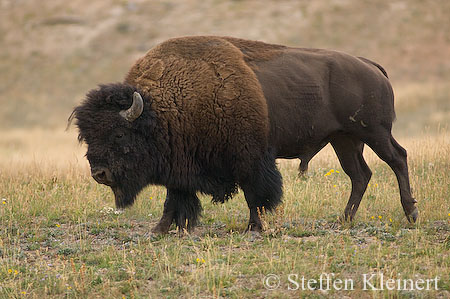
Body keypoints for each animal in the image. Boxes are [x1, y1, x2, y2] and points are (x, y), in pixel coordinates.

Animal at [69, 36, 418, 234]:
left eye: (118, 135)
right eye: (86, 136)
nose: (99, 173)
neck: (163, 107)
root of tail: (370, 66)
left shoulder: (250, 158)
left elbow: (256, 195)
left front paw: (253, 227)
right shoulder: (181, 166)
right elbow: (175, 198)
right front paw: (161, 229)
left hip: (374, 133)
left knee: (397, 159)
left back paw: (411, 214)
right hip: (344, 140)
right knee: (360, 175)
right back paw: (343, 220)